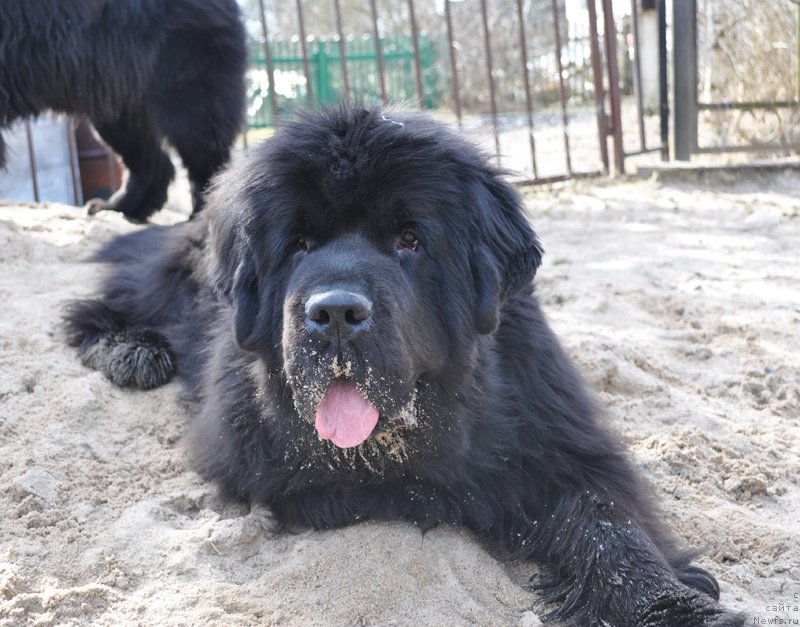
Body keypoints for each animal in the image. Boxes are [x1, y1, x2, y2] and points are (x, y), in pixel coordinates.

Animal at [0, 0, 245, 221]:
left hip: (185, 74)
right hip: (117, 97)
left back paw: (200, 218)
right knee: (150, 159)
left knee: (204, 149)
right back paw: (119, 207)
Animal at [64, 108, 744, 627]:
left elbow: (608, 523)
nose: (335, 313)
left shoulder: (563, 437)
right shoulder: (253, 458)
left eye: (409, 241)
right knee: (104, 305)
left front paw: (669, 607)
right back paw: (129, 350)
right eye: (298, 245)